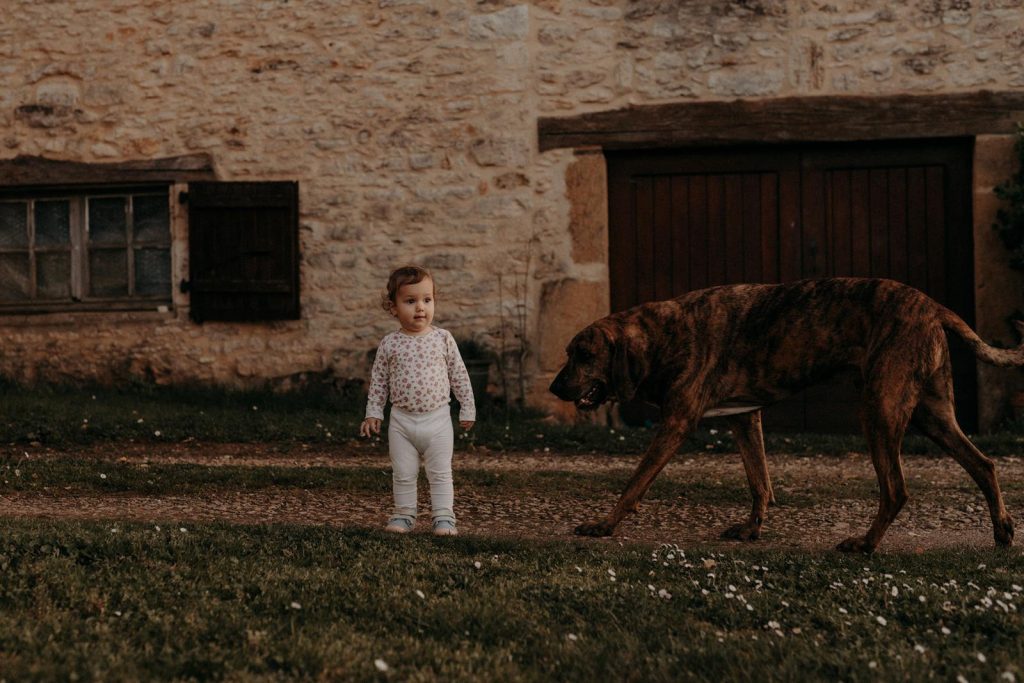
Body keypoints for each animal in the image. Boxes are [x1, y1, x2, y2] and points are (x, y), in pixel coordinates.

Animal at [552, 280, 1024, 552]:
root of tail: (932, 306)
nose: (555, 388)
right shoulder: (745, 419)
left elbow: (634, 483)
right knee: (984, 464)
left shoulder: (676, 423)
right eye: (569, 353)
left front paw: (604, 525)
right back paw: (1001, 529)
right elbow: (759, 481)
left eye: (584, 355)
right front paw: (752, 528)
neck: (661, 334)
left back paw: (866, 543)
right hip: (931, 415)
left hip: (880, 412)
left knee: (896, 490)